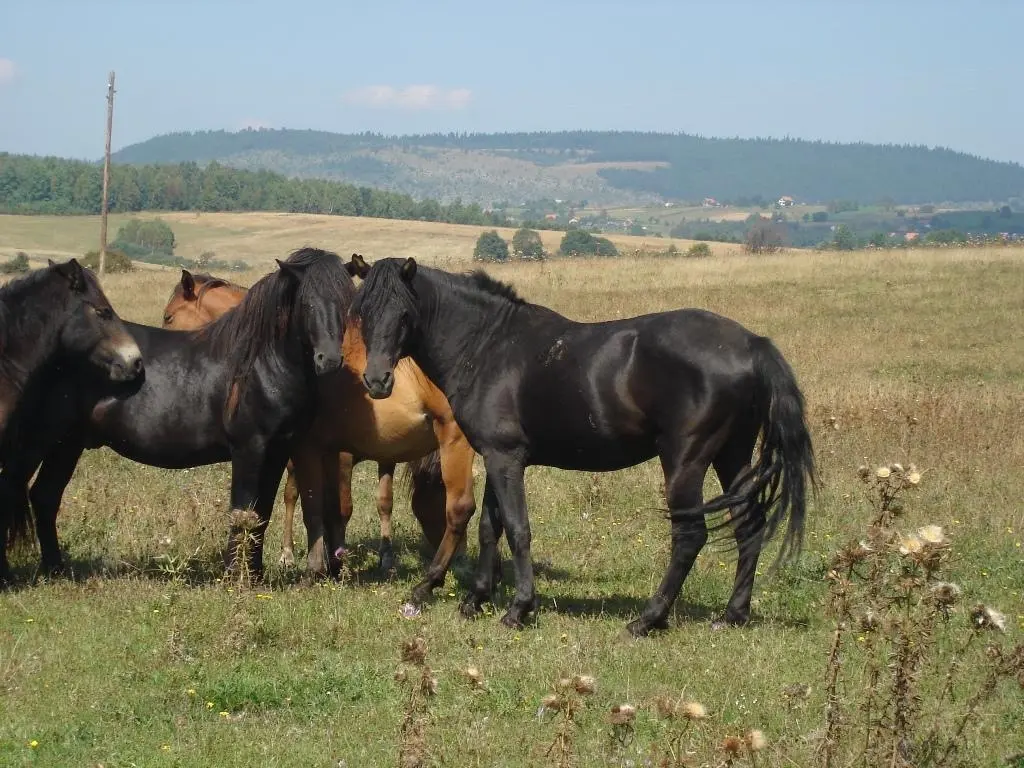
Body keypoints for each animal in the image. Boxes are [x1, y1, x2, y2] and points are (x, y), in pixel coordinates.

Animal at [352, 259, 815, 638]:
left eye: (404, 312)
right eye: (363, 312)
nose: (377, 381)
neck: (487, 346)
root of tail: (751, 343)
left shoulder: (506, 459)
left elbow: (517, 529)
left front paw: (518, 609)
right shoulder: (500, 457)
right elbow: (490, 527)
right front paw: (476, 600)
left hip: (686, 461)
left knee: (689, 536)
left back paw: (649, 619)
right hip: (732, 454)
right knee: (748, 525)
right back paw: (733, 614)